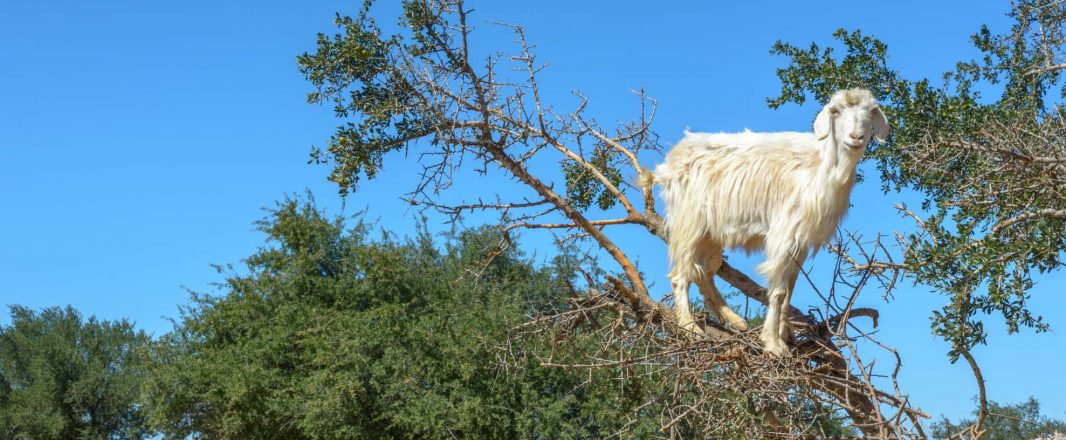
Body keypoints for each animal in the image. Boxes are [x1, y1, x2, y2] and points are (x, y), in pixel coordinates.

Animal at [651, 89, 889, 356]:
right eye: (835, 111)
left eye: (872, 111)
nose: (856, 137)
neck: (820, 168)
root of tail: (671, 161)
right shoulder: (784, 232)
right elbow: (779, 290)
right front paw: (774, 344)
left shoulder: (801, 240)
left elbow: (791, 288)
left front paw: (787, 334)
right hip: (689, 220)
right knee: (681, 272)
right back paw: (689, 325)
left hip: (712, 232)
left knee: (703, 272)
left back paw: (735, 320)